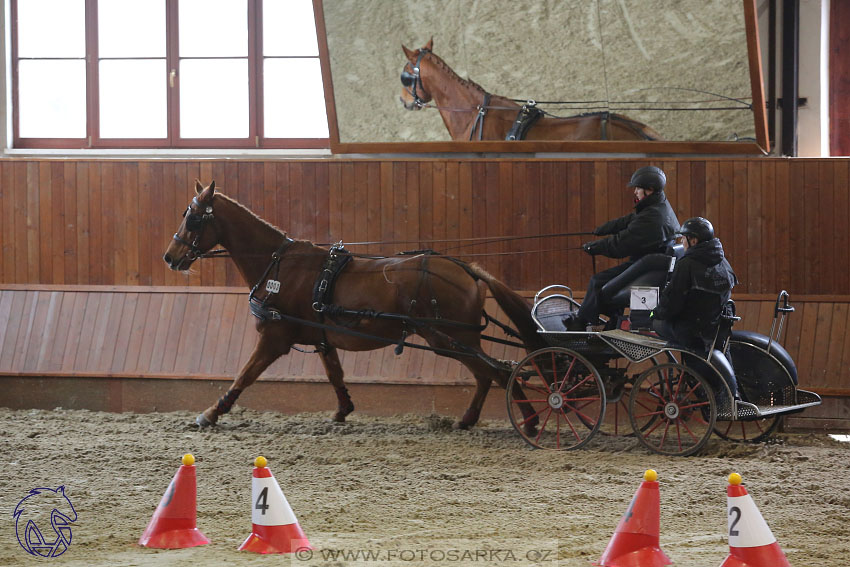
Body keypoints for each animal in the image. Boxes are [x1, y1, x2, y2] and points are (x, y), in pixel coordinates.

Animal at [161, 182, 544, 430]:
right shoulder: (321, 338)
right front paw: (343, 410)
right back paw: (472, 420)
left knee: (498, 371)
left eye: (193, 219)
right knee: (487, 374)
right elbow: (335, 373)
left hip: (447, 339)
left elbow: (245, 374)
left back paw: (529, 420)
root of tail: (468, 270)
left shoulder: (274, 338)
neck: (280, 265)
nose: (170, 256)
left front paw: (211, 413)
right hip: (454, 340)